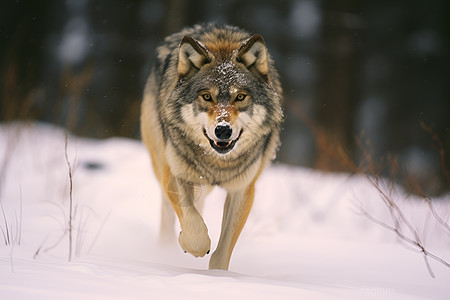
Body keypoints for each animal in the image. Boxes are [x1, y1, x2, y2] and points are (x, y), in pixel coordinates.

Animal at [140, 23, 282, 270]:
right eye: (207, 96)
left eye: (240, 97)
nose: (223, 130)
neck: (218, 163)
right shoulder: (175, 174)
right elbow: (193, 223)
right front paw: (193, 245)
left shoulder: (243, 190)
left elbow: (222, 253)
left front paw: (217, 276)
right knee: (170, 213)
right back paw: (166, 249)